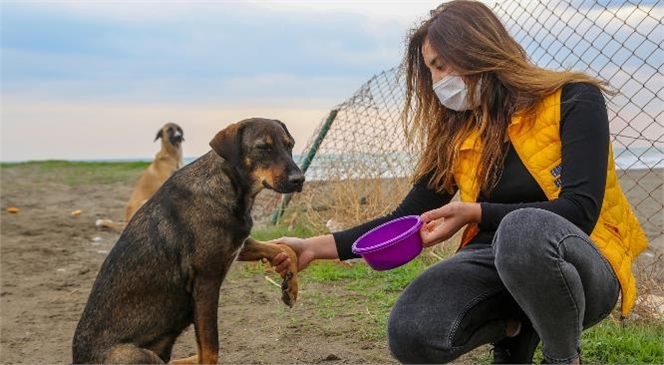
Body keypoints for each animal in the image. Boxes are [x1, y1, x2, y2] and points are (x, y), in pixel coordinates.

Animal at [72, 118, 304, 362]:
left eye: (290, 145)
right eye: (262, 147)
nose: (300, 180)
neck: (227, 186)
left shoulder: (238, 245)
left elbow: (286, 248)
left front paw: (291, 287)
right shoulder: (206, 284)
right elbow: (211, 351)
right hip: (138, 355)